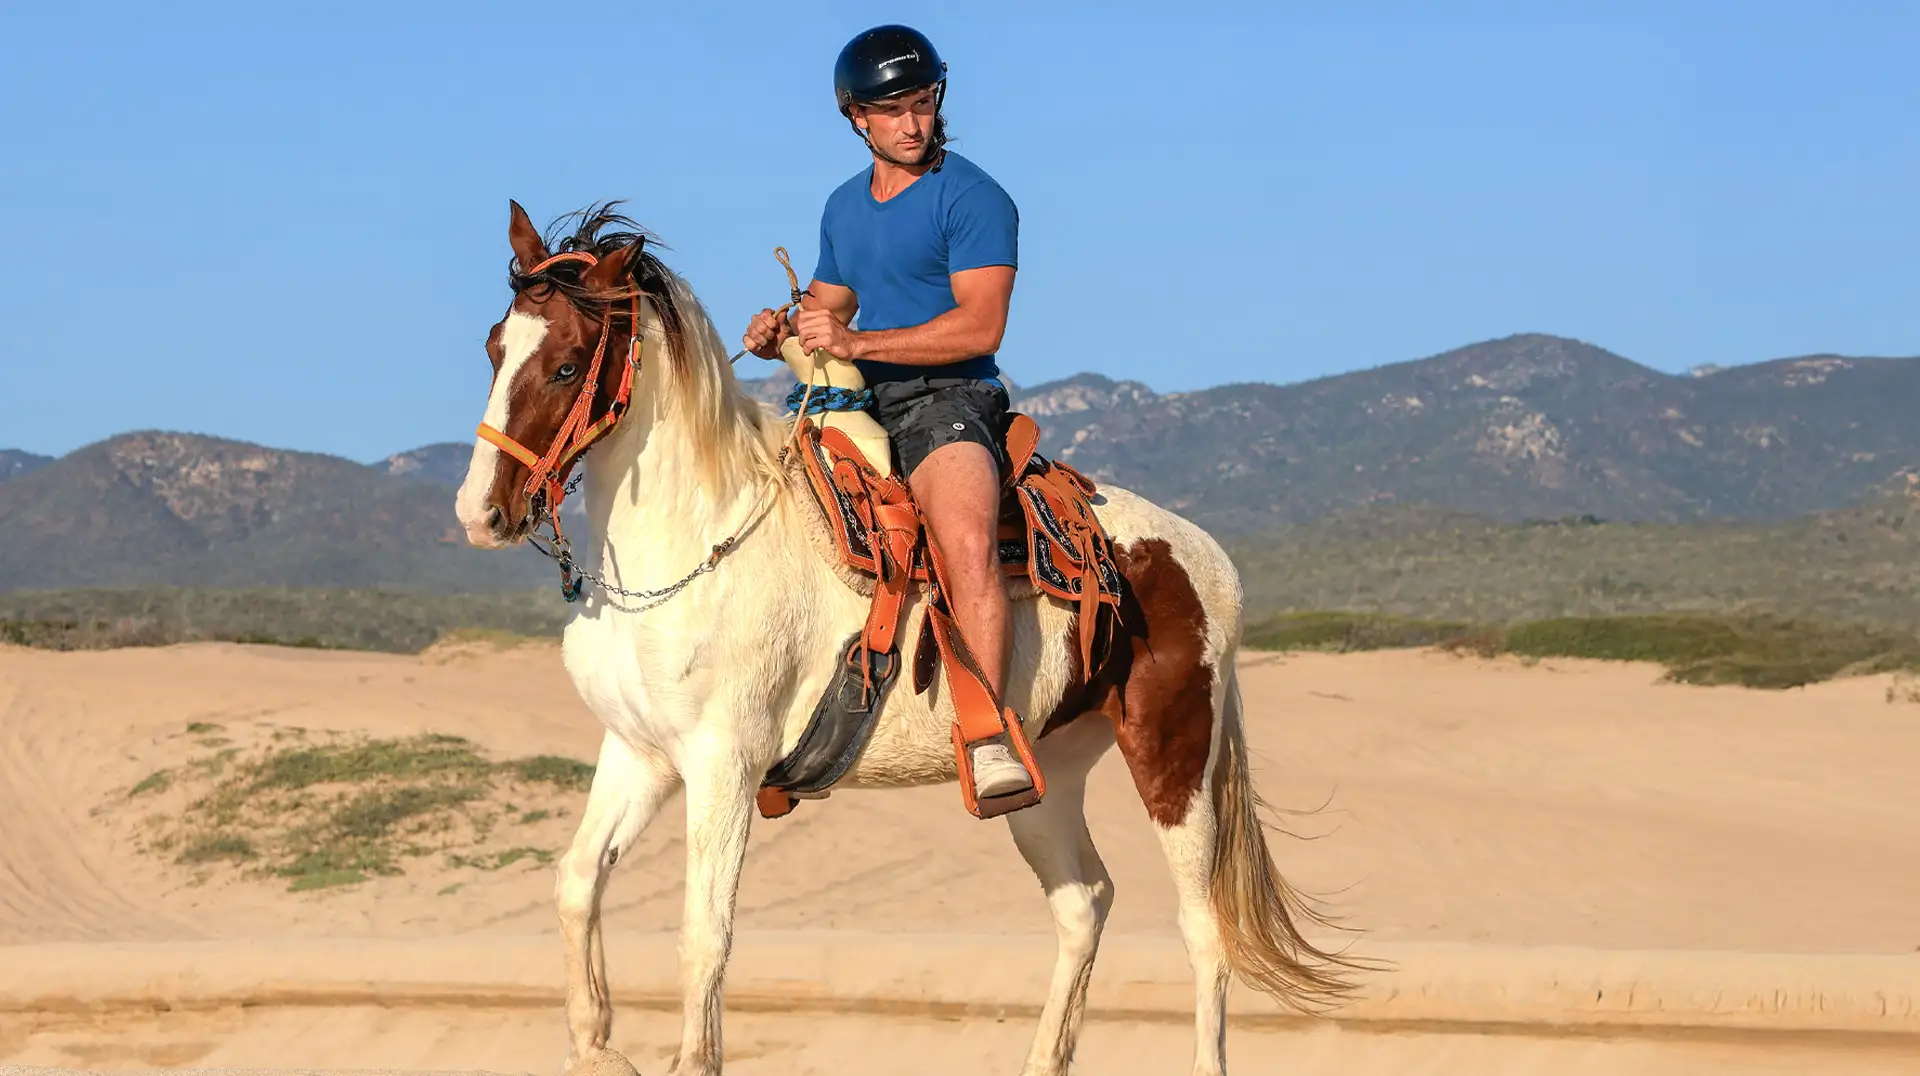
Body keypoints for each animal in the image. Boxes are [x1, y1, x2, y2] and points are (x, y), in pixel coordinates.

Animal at [452, 200, 1364, 1076]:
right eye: (496, 346)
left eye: (568, 364)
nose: (481, 513)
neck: (698, 537)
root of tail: (1205, 554)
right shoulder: (639, 754)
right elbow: (577, 883)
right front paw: (595, 1045)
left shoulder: (723, 763)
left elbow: (704, 936)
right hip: (1047, 775)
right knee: (1084, 904)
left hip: (1175, 753)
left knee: (1203, 932)